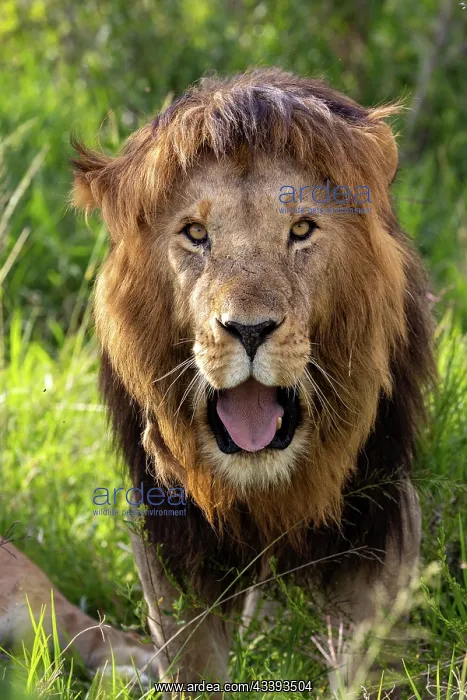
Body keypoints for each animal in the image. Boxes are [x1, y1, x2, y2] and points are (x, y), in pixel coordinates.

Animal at [7, 68, 436, 696]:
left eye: (301, 229)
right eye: (195, 233)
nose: (249, 329)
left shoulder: (378, 515)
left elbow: (368, 664)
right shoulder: (171, 534)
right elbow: (193, 661)